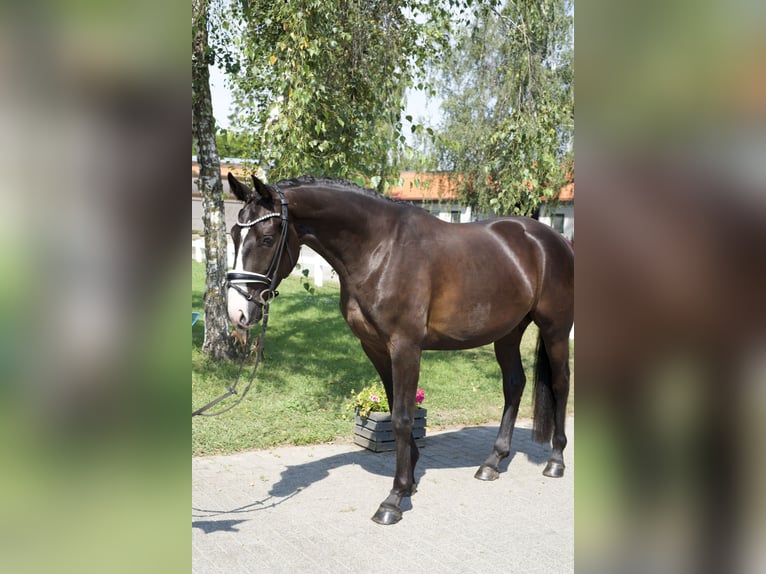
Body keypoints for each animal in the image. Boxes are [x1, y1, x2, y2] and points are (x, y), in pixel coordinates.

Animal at [225, 174, 572, 528]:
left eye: (267, 239)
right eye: (234, 235)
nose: (237, 312)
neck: (380, 250)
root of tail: (552, 239)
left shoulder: (405, 347)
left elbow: (403, 418)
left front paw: (393, 499)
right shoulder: (376, 348)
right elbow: (394, 409)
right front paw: (410, 481)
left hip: (556, 330)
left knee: (560, 384)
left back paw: (555, 461)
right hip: (507, 333)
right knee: (514, 385)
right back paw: (493, 462)